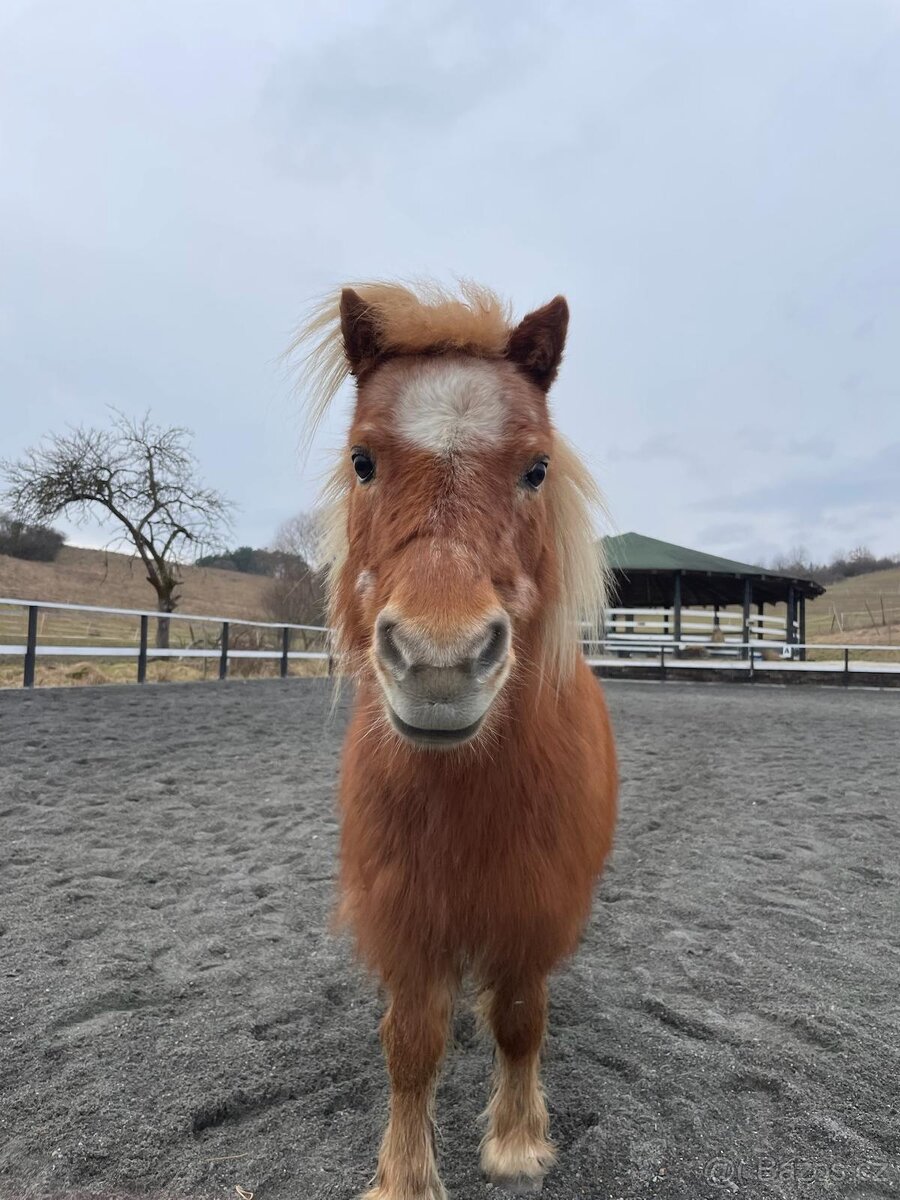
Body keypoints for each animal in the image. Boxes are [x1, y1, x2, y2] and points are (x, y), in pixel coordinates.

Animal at [293, 281, 618, 1199]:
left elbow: (519, 1020)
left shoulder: (530, 912)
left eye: (535, 468)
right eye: (363, 460)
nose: (440, 663)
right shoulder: (407, 919)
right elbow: (411, 1044)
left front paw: (516, 1141)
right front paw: (405, 1174)